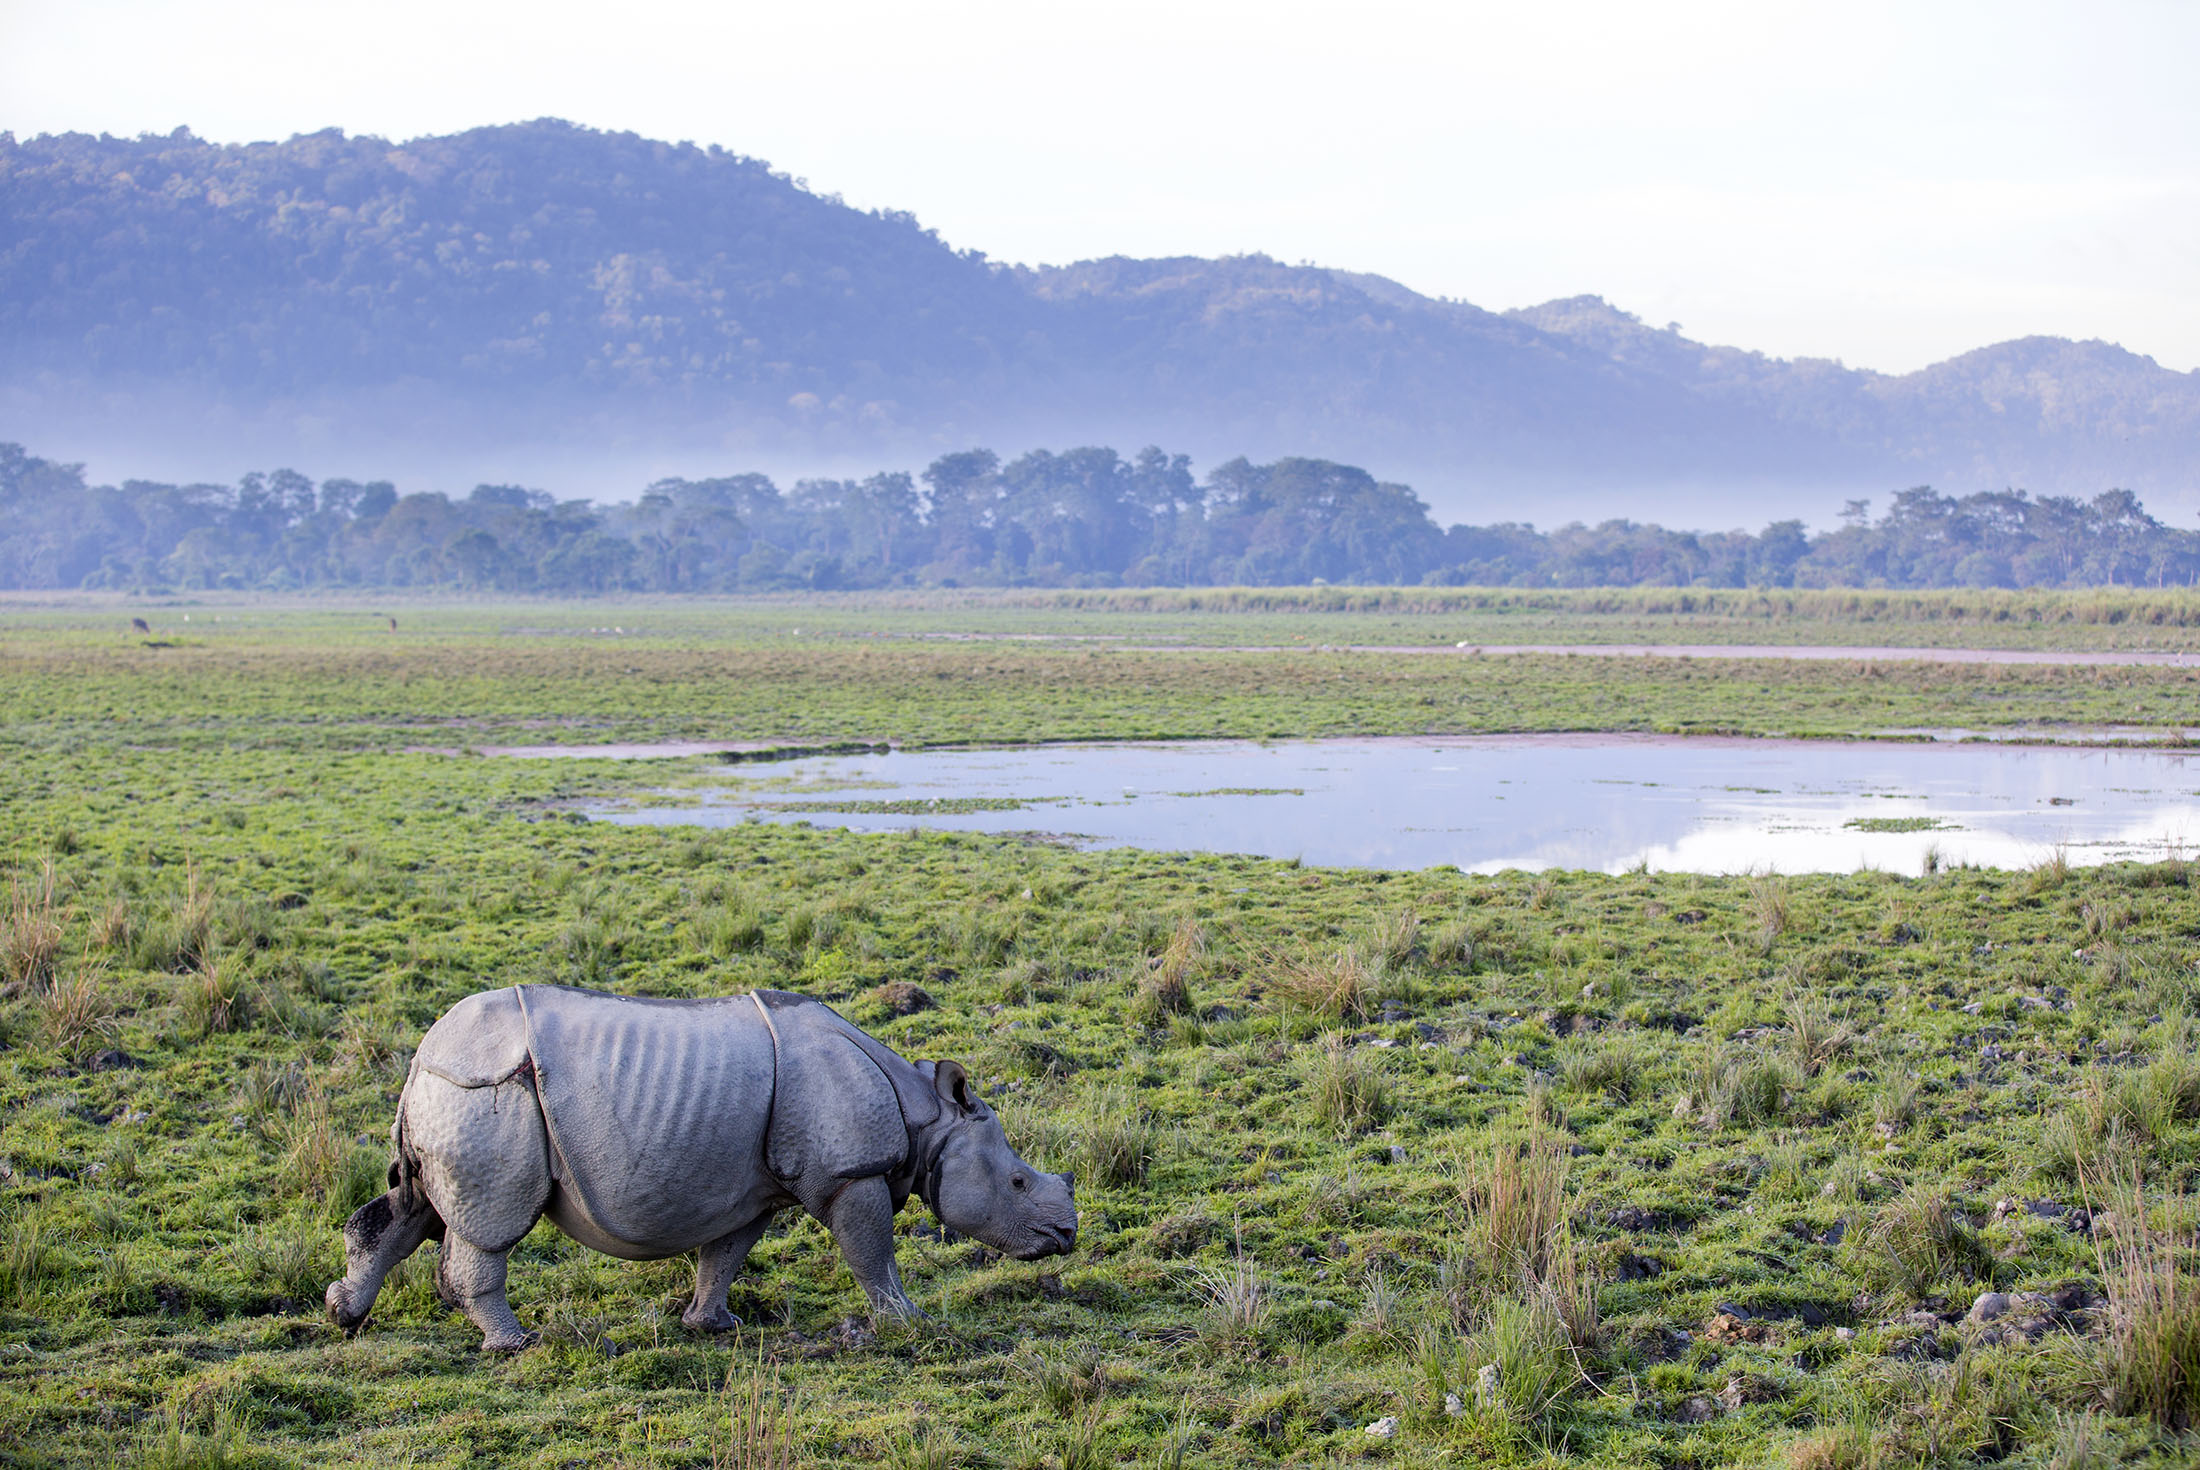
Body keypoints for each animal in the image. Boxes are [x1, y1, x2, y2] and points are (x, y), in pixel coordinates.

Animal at [325, 985, 1077, 1350]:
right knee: (490, 1226)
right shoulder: (850, 1174)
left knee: (413, 1209)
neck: (927, 1118)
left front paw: (712, 1326)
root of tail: (420, 1056)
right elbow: (872, 1254)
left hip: (453, 1094)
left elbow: (726, 1255)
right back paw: (514, 1344)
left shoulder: (753, 1189)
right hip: (487, 1093)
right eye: (1017, 1183)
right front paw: (908, 1321)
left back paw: (344, 1315)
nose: (1065, 1237)